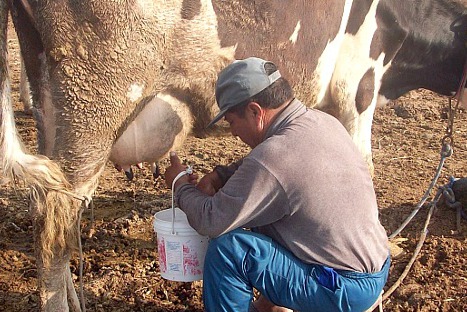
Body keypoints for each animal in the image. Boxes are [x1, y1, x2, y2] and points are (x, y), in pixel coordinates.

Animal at [0, 0, 467, 312]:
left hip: (51, 103)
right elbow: (364, 169)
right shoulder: (357, 87)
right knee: (55, 221)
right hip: (96, 102)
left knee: (52, 207)